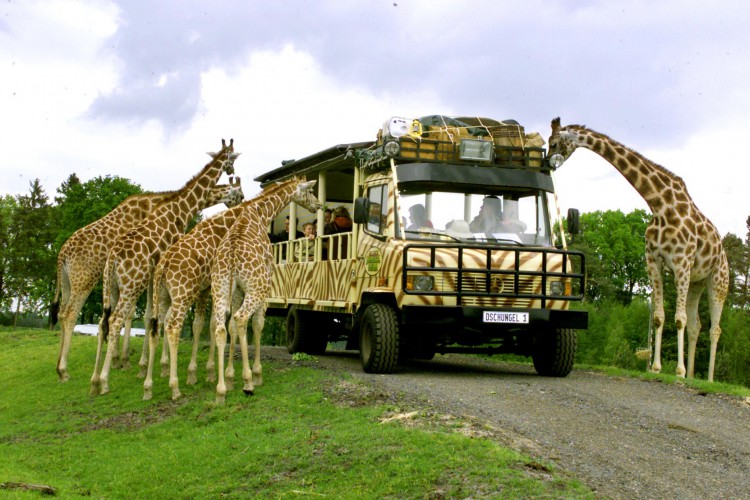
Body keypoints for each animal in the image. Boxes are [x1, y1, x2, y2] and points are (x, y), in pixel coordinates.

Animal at [54, 189, 175, 380]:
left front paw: (118, 360)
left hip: (67, 282)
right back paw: (64, 370)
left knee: (61, 312)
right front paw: (124, 360)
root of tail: (61, 256)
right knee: (70, 313)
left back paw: (59, 367)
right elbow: (132, 314)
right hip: (84, 280)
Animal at [90, 140, 244, 394]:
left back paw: (94, 379)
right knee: (115, 320)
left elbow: (153, 316)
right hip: (132, 284)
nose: (241, 202)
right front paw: (159, 368)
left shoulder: (156, 272)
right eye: (239, 193)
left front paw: (150, 368)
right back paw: (104, 380)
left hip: (110, 287)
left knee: (104, 321)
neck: (182, 207)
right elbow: (160, 316)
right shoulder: (161, 267)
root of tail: (112, 260)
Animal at [210, 178, 322, 404]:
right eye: (310, 191)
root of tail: (232, 256)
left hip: (220, 288)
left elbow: (232, 327)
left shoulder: (237, 291)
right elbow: (258, 324)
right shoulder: (266, 284)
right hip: (257, 287)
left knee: (222, 327)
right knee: (242, 318)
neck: (262, 213)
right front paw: (256, 374)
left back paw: (220, 391)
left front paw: (230, 377)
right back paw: (248, 383)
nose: (318, 205)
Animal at [548, 118, 732, 382]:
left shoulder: (681, 263)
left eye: (553, 143)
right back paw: (692, 375)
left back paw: (707, 379)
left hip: (718, 281)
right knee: (696, 324)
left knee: (715, 328)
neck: (660, 205)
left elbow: (678, 319)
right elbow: (659, 317)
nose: (547, 162)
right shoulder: (653, 262)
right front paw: (657, 367)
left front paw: (677, 371)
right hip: (697, 281)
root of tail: (723, 254)